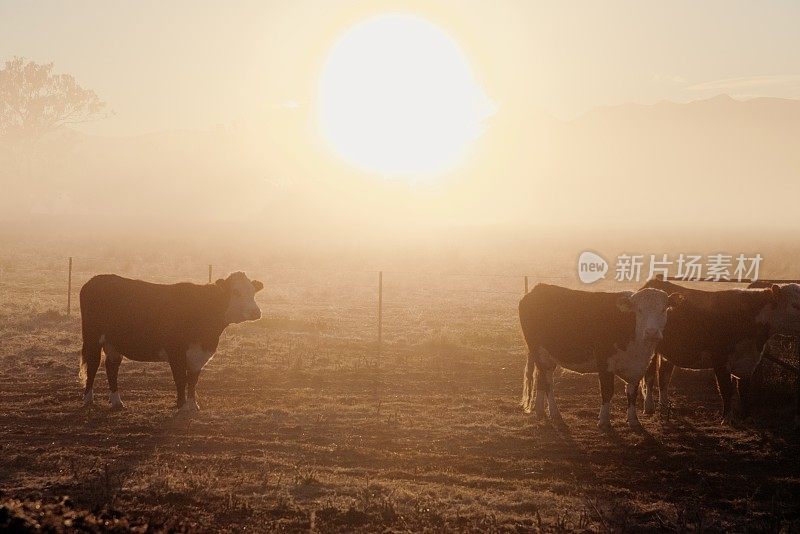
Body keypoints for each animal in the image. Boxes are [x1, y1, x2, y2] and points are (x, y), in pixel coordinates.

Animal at [80, 274, 264, 412]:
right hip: (92, 338)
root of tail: (95, 280)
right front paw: (182, 405)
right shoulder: (176, 352)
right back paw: (88, 399)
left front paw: (193, 405)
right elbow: (181, 379)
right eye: (236, 291)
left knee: (112, 367)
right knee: (93, 365)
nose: (256, 312)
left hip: (113, 344)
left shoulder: (199, 355)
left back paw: (117, 402)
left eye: (253, 291)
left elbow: (193, 380)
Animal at [520, 284, 684, 432]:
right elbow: (607, 391)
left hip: (547, 356)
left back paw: (541, 412)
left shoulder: (637, 367)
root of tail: (538, 289)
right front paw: (604, 421)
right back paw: (556, 415)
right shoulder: (604, 363)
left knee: (541, 380)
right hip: (539, 352)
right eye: (639, 310)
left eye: (663, 309)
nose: (651, 332)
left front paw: (633, 420)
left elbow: (632, 393)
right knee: (548, 383)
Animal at [644, 278, 800, 426]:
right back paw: (649, 407)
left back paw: (664, 409)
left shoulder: (748, 363)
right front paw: (727, 418)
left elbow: (744, 390)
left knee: (664, 377)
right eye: (794, 305)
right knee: (650, 376)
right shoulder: (720, 359)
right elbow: (726, 389)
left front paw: (747, 417)